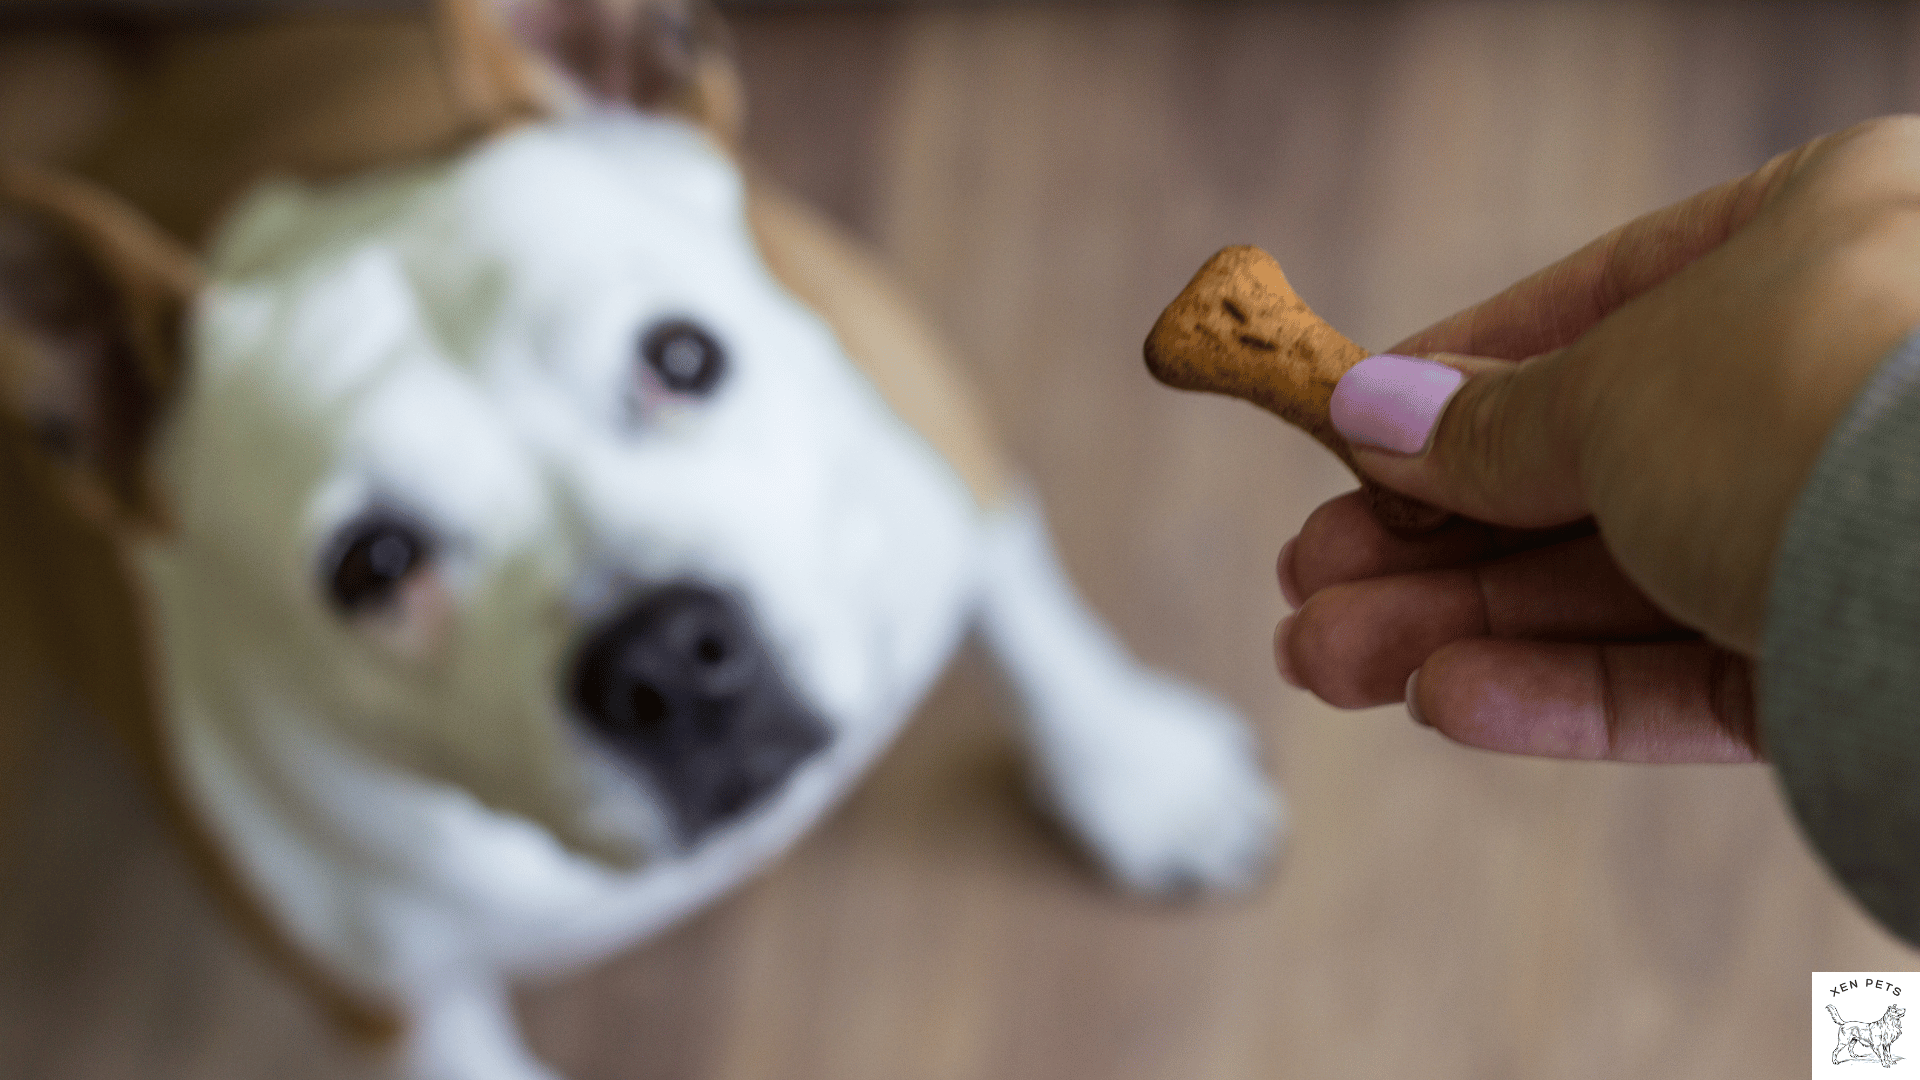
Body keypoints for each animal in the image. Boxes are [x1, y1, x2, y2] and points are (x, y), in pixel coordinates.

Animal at [3, 2, 1290, 1076]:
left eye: (682, 356)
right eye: (371, 565)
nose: (666, 656)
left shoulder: (938, 450)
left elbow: (1028, 613)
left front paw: (1137, 772)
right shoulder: (401, 1011)